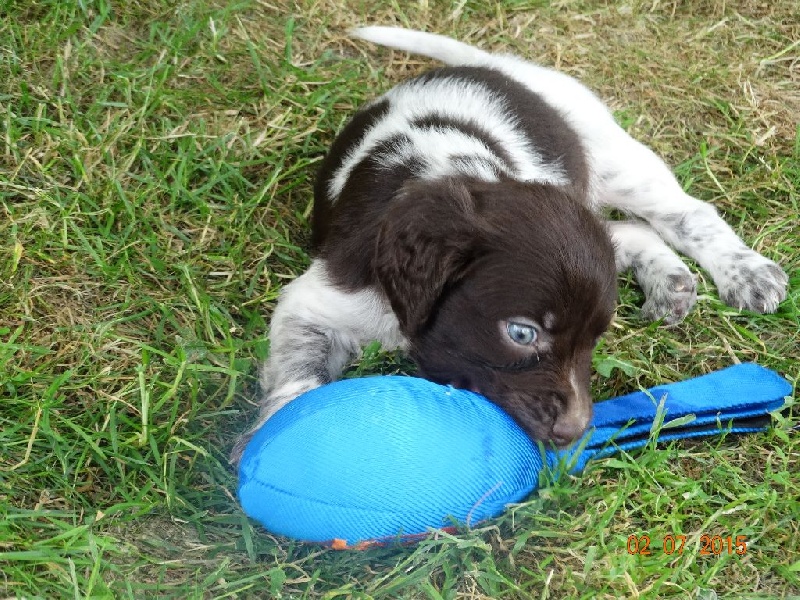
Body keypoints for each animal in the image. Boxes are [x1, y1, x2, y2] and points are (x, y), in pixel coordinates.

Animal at [230, 27, 788, 460]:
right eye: (522, 334)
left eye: (595, 339)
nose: (574, 434)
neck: (450, 172)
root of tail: (497, 64)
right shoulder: (317, 300)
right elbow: (297, 375)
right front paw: (277, 433)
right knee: (632, 231)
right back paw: (669, 280)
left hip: (612, 159)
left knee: (684, 214)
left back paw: (745, 272)